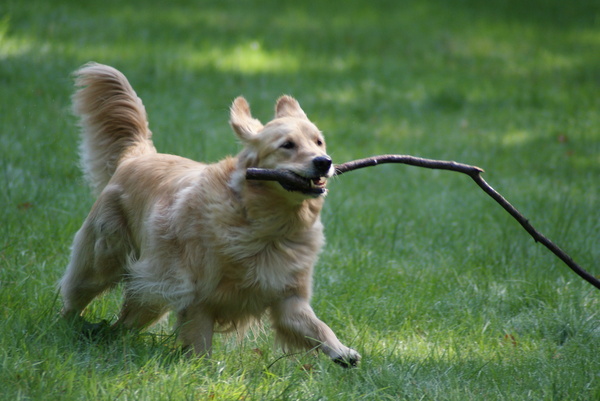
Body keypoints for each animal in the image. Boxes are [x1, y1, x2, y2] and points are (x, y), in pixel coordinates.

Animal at [59, 62, 360, 366]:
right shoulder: (197, 297)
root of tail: (137, 156)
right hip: (102, 262)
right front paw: (201, 370)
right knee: (74, 296)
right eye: (287, 145)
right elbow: (200, 343)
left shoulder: (288, 298)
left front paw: (342, 351)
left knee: (123, 323)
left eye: (319, 142)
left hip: (148, 290)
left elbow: (317, 326)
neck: (266, 226)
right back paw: (65, 328)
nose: (324, 162)